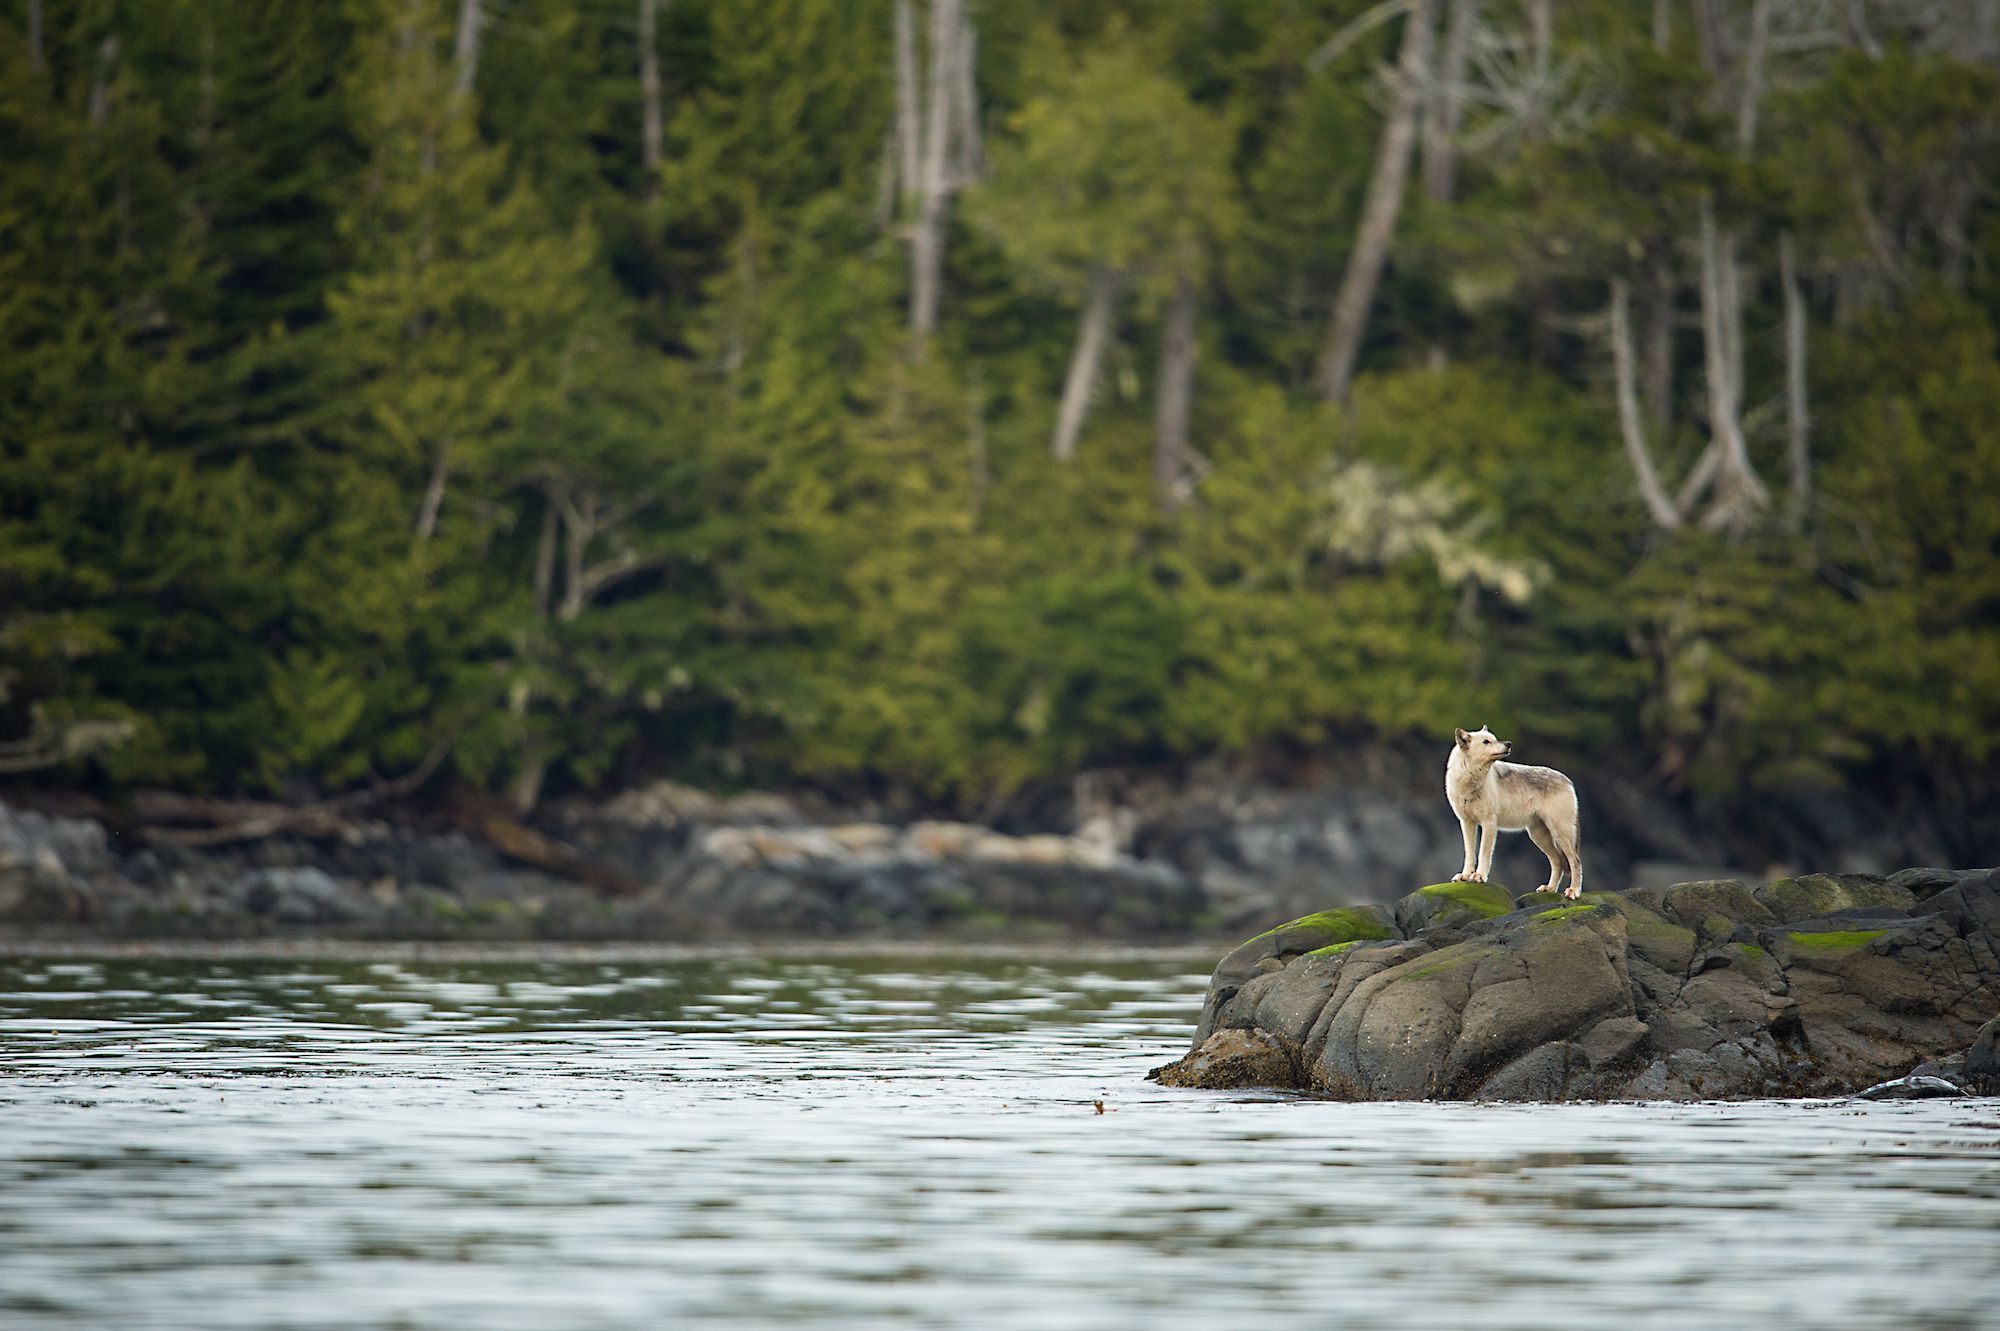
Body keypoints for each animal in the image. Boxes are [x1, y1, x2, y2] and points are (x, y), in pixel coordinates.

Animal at [1448, 727, 1584, 903]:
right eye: (1486, 742)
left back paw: (1573, 891)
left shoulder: (1489, 824)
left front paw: (1479, 876)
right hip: (1538, 836)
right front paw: (1465, 876)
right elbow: (1470, 854)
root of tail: (1569, 781)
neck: (1470, 780)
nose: (1508, 743)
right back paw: (1550, 889)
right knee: (1558, 862)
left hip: (1560, 833)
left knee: (1575, 862)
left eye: (1494, 739)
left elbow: (1484, 854)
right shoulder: (1467, 823)